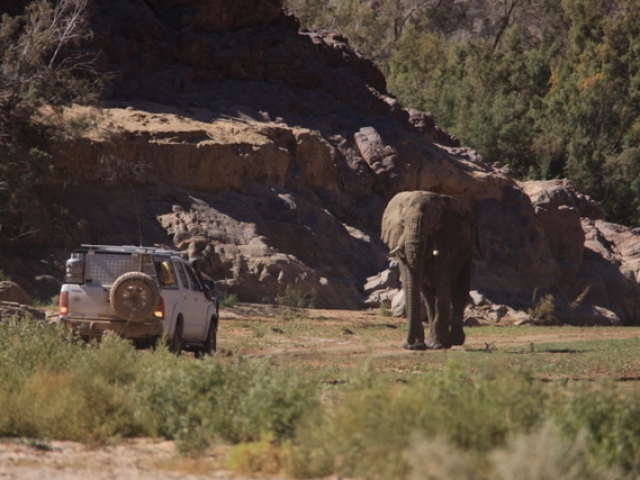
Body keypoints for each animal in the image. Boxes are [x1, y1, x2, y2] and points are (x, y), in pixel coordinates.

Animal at [380, 189, 476, 350]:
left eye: (434, 225)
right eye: (402, 223)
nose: (410, 345)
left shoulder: (449, 240)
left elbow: (443, 282)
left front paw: (439, 345)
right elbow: (408, 280)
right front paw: (418, 345)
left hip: (467, 250)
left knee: (459, 290)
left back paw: (453, 341)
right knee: (429, 295)